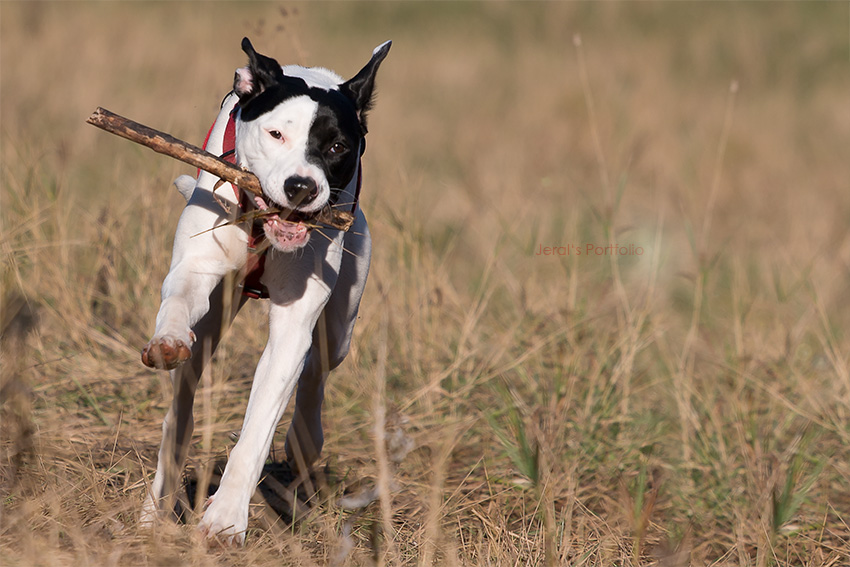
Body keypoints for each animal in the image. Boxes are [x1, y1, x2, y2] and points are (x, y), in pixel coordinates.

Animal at [139, 36, 390, 544]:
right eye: (276, 135)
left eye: (337, 145)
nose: (301, 187)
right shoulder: (196, 268)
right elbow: (178, 299)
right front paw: (168, 337)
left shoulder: (294, 325)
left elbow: (258, 427)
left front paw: (224, 519)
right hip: (212, 323)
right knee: (182, 404)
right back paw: (157, 501)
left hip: (342, 324)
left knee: (317, 371)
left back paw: (305, 441)